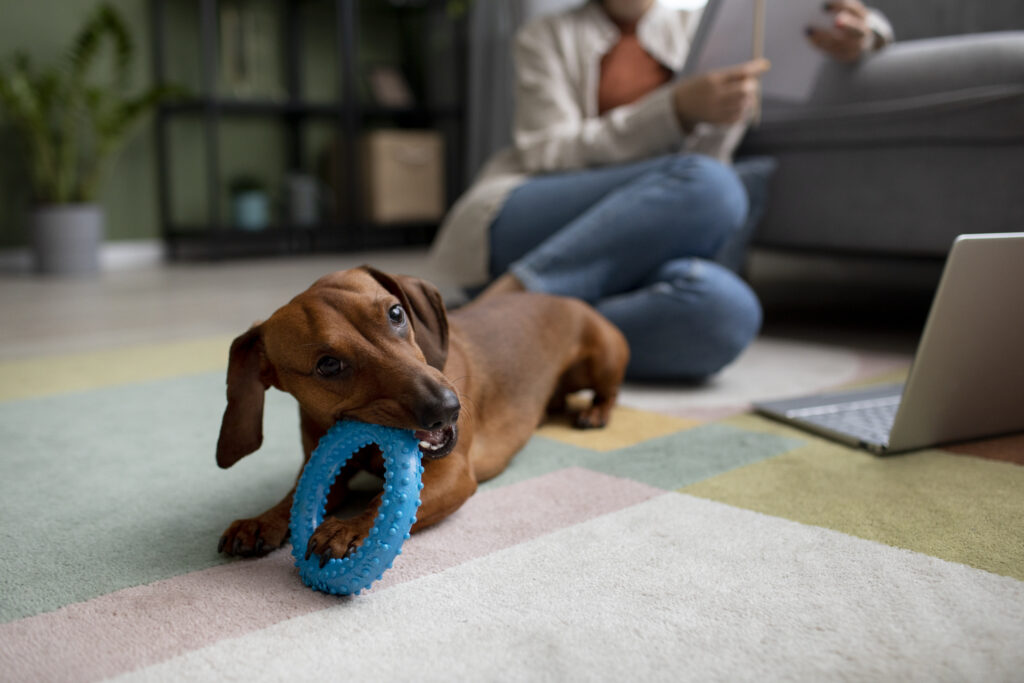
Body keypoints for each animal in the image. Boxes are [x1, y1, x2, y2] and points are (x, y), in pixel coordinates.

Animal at [218, 266, 622, 561]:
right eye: (327, 365)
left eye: (396, 312)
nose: (447, 408)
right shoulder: (326, 469)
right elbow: (294, 498)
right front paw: (260, 521)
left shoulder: (453, 474)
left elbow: (385, 502)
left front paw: (348, 527)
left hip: (603, 358)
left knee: (609, 392)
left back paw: (595, 413)